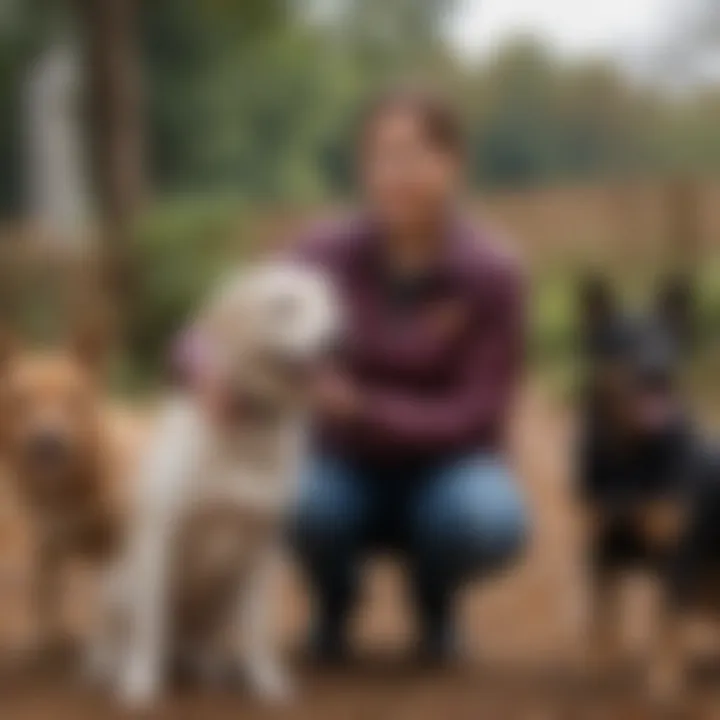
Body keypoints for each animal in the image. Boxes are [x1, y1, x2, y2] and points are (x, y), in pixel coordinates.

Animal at [94, 262, 338, 708]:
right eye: (284, 304)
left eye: (328, 305)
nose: (334, 341)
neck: (249, 423)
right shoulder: (163, 537)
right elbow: (151, 625)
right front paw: (140, 684)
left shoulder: (263, 546)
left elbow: (257, 632)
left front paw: (268, 683)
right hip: (119, 582)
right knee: (122, 637)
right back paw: (114, 666)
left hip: (222, 596)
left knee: (201, 644)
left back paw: (209, 667)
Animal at [576, 274, 720, 704]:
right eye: (625, 342)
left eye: (669, 340)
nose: (661, 372)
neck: (632, 458)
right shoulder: (601, 546)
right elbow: (603, 616)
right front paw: (599, 668)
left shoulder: (678, 553)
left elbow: (667, 620)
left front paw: (664, 682)